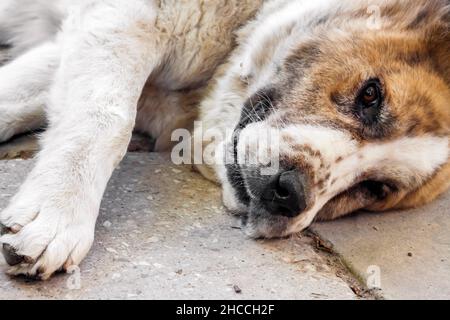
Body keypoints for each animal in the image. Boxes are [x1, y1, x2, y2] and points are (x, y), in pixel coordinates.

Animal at [0, 0, 448, 280]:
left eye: (375, 189)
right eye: (371, 95)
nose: (288, 193)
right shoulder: (130, 18)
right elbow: (106, 116)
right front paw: (58, 215)